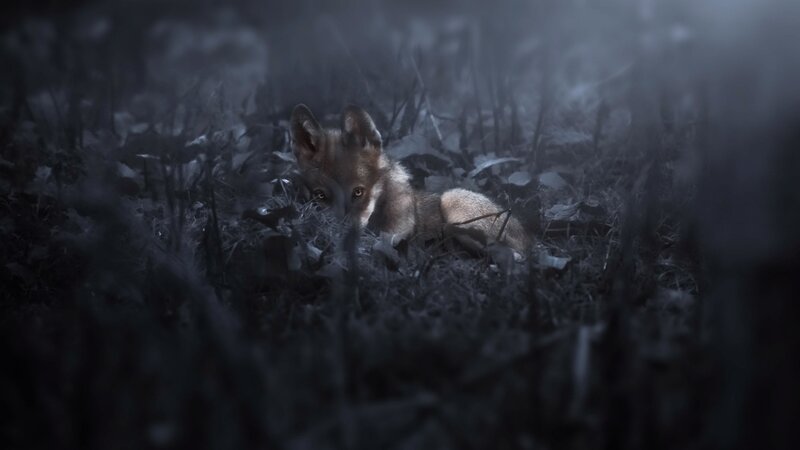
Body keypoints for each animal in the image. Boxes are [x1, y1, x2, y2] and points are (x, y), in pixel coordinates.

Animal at [290, 104, 530, 258]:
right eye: (320, 196)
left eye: (358, 192)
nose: (339, 236)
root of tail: (531, 240)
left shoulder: (394, 235)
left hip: (452, 202)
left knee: (512, 256)